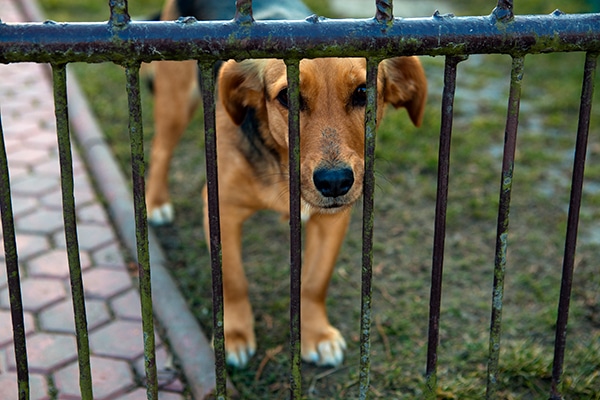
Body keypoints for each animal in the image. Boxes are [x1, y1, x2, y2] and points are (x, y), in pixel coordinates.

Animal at [145, 0, 426, 368]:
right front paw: (235, 335)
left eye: (364, 92)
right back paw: (155, 202)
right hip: (176, 103)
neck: (282, 163)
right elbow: (233, 280)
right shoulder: (222, 208)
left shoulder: (333, 219)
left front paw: (316, 334)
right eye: (287, 97)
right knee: (160, 151)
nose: (335, 182)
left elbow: (314, 282)